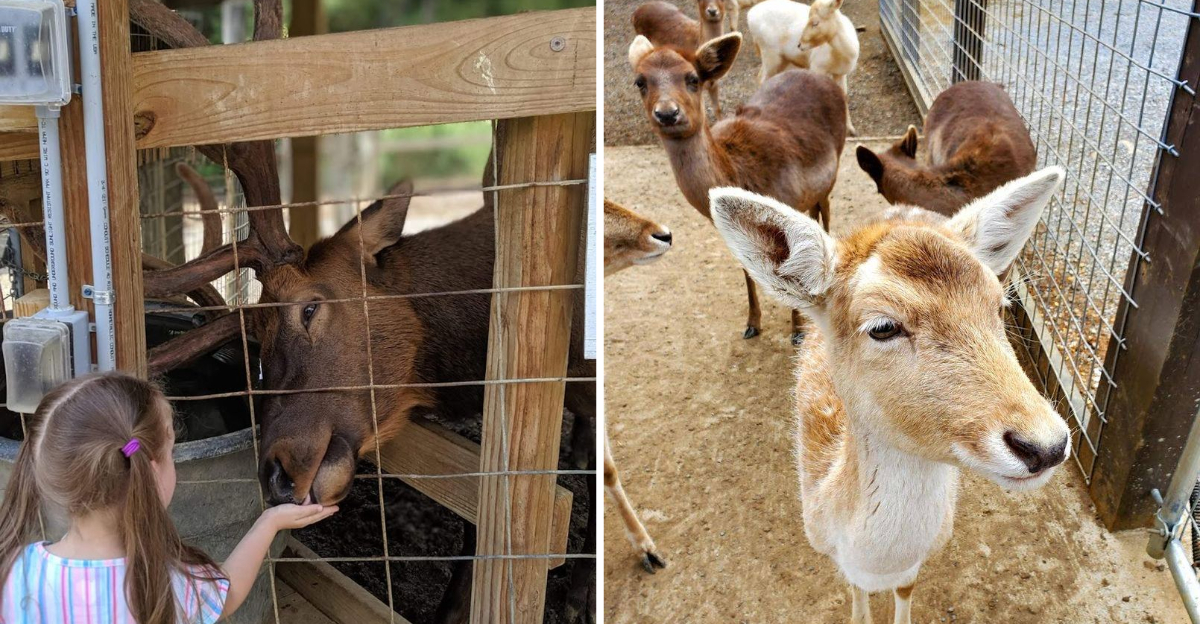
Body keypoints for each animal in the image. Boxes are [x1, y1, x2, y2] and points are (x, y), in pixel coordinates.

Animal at [629, 31, 846, 344]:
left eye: (693, 78)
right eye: (640, 81)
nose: (667, 113)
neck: (741, 173)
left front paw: (797, 332)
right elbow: (747, 270)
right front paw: (752, 324)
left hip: (833, 170)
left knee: (825, 211)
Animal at [709, 166, 1071, 624]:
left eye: (1000, 306)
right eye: (883, 327)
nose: (1046, 445)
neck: (875, 559)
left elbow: (906, 590)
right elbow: (857, 596)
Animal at [749, 0, 859, 135]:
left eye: (815, 22)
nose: (800, 44)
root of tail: (749, 15)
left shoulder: (841, 73)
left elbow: (844, 96)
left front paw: (851, 129)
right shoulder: (817, 66)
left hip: (782, 60)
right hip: (770, 54)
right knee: (762, 79)